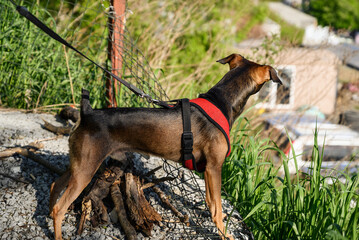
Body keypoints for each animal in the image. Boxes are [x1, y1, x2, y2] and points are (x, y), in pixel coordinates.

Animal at [49, 53, 282, 239]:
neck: (222, 100)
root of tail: (87, 112)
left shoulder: (208, 170)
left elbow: (211, 203)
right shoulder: (214, 167)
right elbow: (217, 210)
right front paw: (225, 234)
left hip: (78, 164)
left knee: (54, 187)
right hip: (86, 168)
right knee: (60, 208)